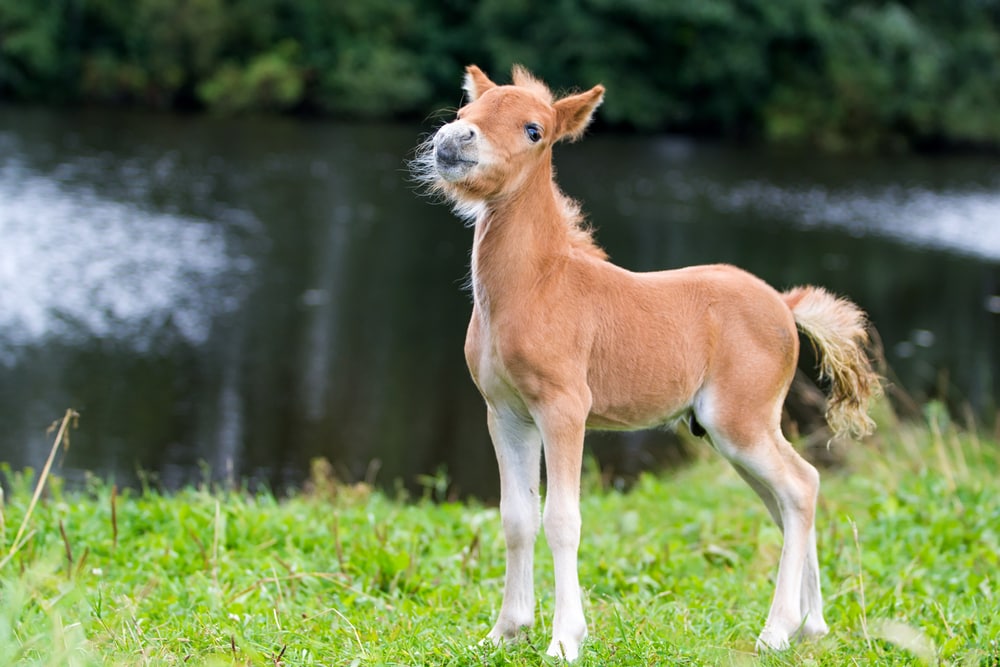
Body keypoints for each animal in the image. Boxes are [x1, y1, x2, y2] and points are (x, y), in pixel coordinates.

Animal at [412, 64, 881, 661]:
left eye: (534, 130)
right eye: (467, 111)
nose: (453, 140)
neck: (534, 286)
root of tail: (785, 303)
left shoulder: (564, 410)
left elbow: (561, 518)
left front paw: (564, 640)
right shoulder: (506, 414)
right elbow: (516, 517)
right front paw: (504, 632)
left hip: (741, 422)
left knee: (800, 488)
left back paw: (776, 632)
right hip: (733, 435)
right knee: (792, 496)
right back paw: (811, 627)